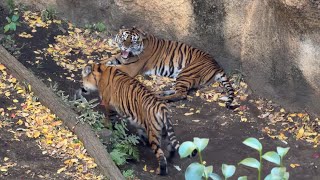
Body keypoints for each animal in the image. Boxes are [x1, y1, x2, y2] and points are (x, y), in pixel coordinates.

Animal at [104, 26, 236, 108]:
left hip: (186, 73)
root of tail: (217, 66)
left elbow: (111, 67)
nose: (125, 47)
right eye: (123, 39)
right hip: (180, 77)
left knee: (182, 94)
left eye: (133, 41)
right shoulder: (120, 58)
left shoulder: (131, 67)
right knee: (176, 90)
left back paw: (161, 98)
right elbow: (106, 61)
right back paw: (158, 93)